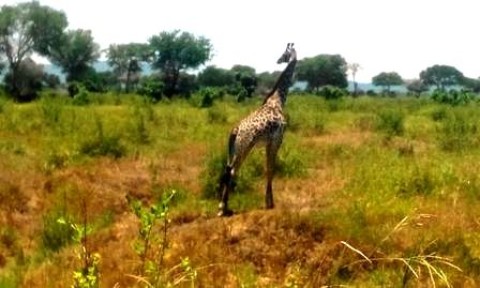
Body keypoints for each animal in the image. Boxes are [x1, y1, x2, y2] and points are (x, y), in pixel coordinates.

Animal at [217, 43, 296, 216]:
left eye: (284, 54)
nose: (278, 60)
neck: (278, 100)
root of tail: (236, 130)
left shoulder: (268, 143)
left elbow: (268, 168)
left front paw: (268, 201)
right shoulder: (277, 140)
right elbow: (271, 169)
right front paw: (270, 203)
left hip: (235, 149)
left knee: (227, 169)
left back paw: (223, 206)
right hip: (245, 147)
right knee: (232, 171)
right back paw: (223, 208)